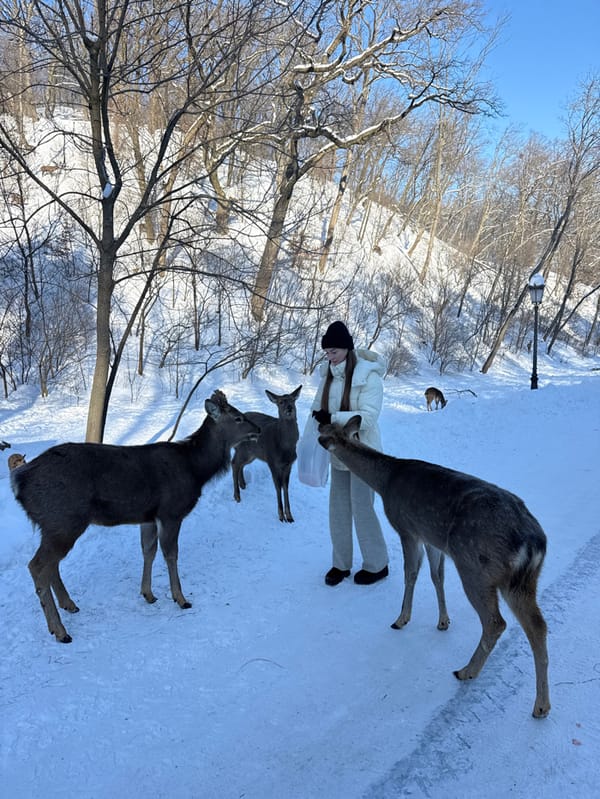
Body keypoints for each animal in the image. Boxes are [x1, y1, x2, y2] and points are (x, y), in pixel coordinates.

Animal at [11, 390, 260, 644]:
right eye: (238, 418)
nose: (258, 429)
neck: (196, 470)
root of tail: (19, 482)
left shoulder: (148, 517)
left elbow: (148, 551)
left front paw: (148, 594)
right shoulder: (171, 511)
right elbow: (170, 553)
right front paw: (181, 598)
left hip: (54, 525)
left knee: (51, 565)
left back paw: (69, 605)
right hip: (63, 519)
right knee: (37, 565)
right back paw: (60, 630)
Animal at [232, 385, 302, 522]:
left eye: (293, 400)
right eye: (281, 402)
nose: (289, 408)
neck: (285, 447)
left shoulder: (289, 464)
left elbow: (285, 487)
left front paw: (289, 516)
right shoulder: (272, 461)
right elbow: (278, 487)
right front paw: (281, 516)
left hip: (252, 453)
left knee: (240, 464)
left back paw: (243, 484)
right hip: (244, 449)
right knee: (234, 463)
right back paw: (237, 496)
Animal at [317, 416, 550, 718]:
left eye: (326, 432)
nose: (317, 424)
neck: (386, 482)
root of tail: (533, 543)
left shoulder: (407, 527)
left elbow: (411, 573)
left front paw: (401, 619)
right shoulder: (432, 538)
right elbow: (436, 575)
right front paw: (443, 621)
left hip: (476, 568)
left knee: (496, 622)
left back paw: (466, 671)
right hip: (522, 581)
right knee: (538, 626)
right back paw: (541, 706)